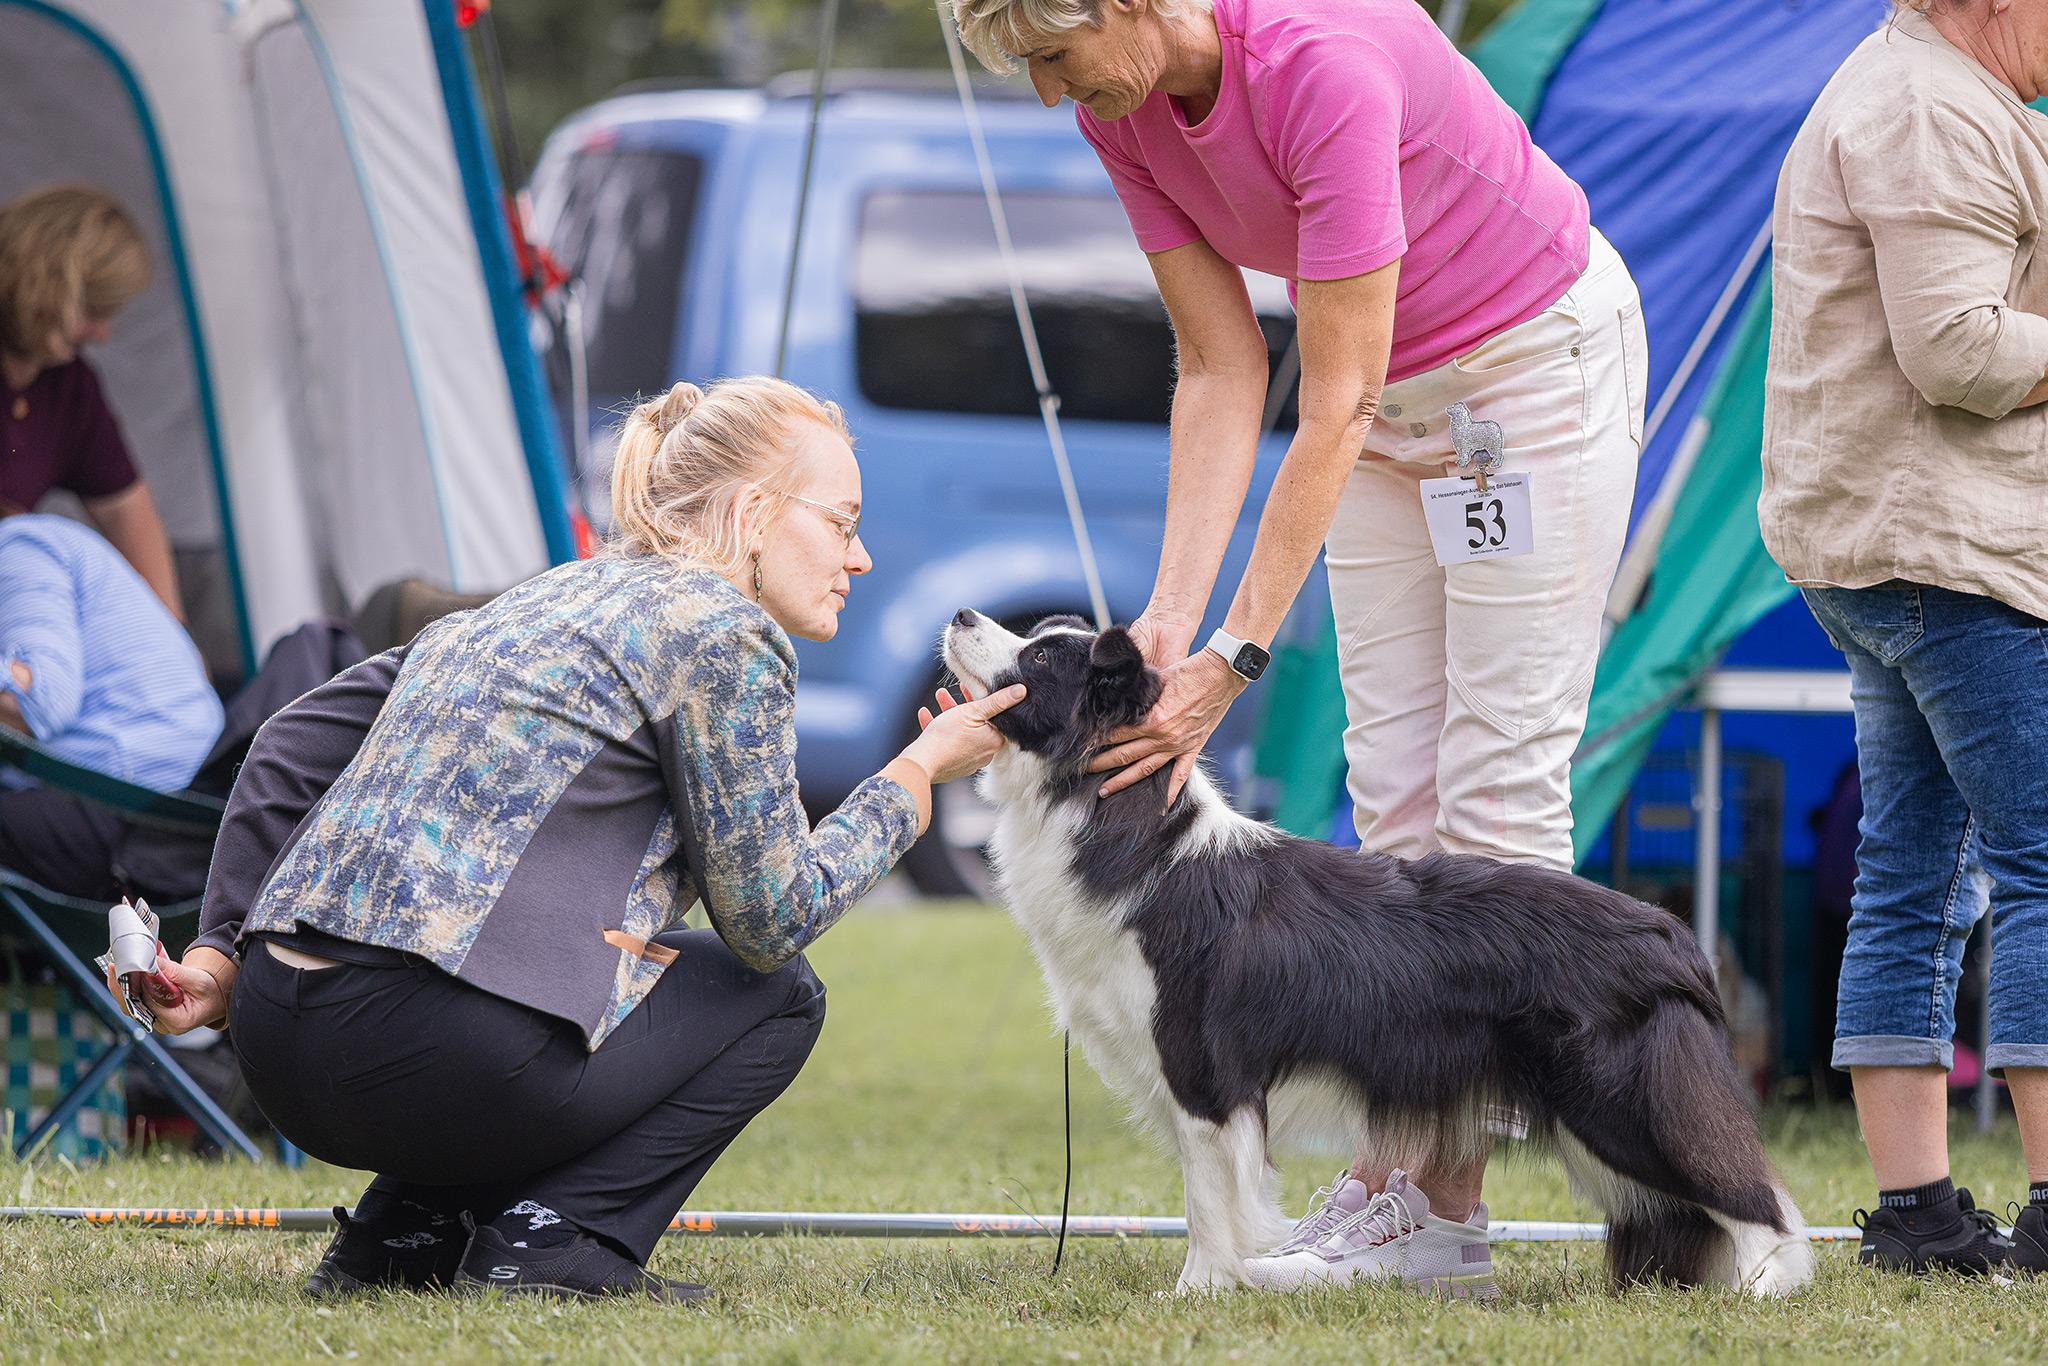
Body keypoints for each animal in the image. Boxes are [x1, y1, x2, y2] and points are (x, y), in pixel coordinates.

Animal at [942, 614, 1810, 1302]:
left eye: (1042, 658)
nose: (960, 614)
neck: (1118, 816)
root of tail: (1674, 938)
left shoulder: (1207, 1078)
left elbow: (1209, 1201)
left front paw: (1198, 1293)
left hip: (1619, 1098)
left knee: (1752, 1195)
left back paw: (1766, 1290)